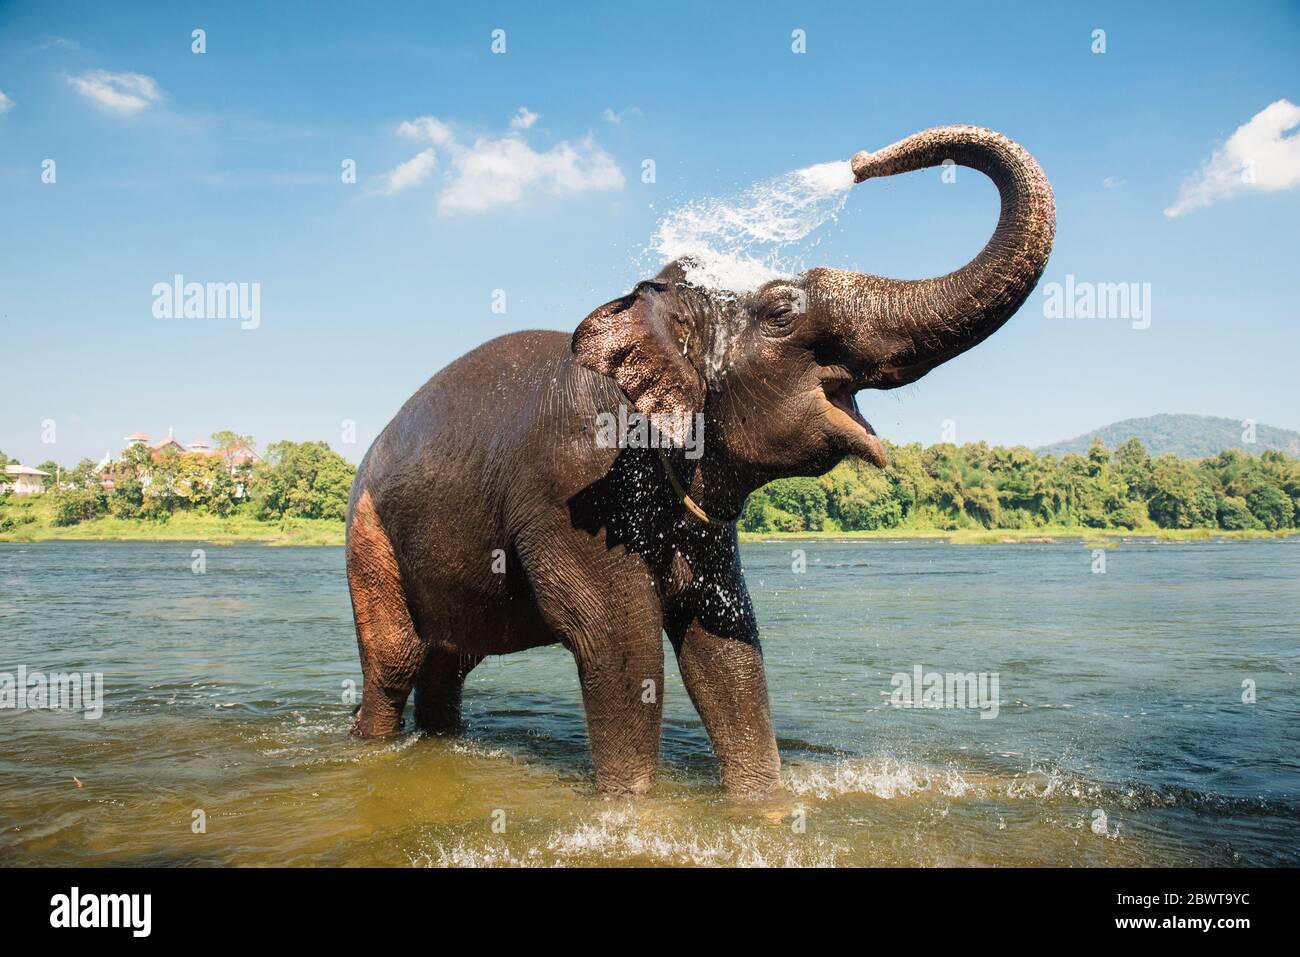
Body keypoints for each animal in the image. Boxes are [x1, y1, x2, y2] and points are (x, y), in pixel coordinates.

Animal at [348, 128, 1055, 800]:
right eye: (781, 312)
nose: (859, 161)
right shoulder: (573, 489)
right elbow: (622, 648)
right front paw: (631, 810)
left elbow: (725, 648)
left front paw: (761, 804)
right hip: (368, 538)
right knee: (395, 663)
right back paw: (372, 747)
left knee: (448, 663)